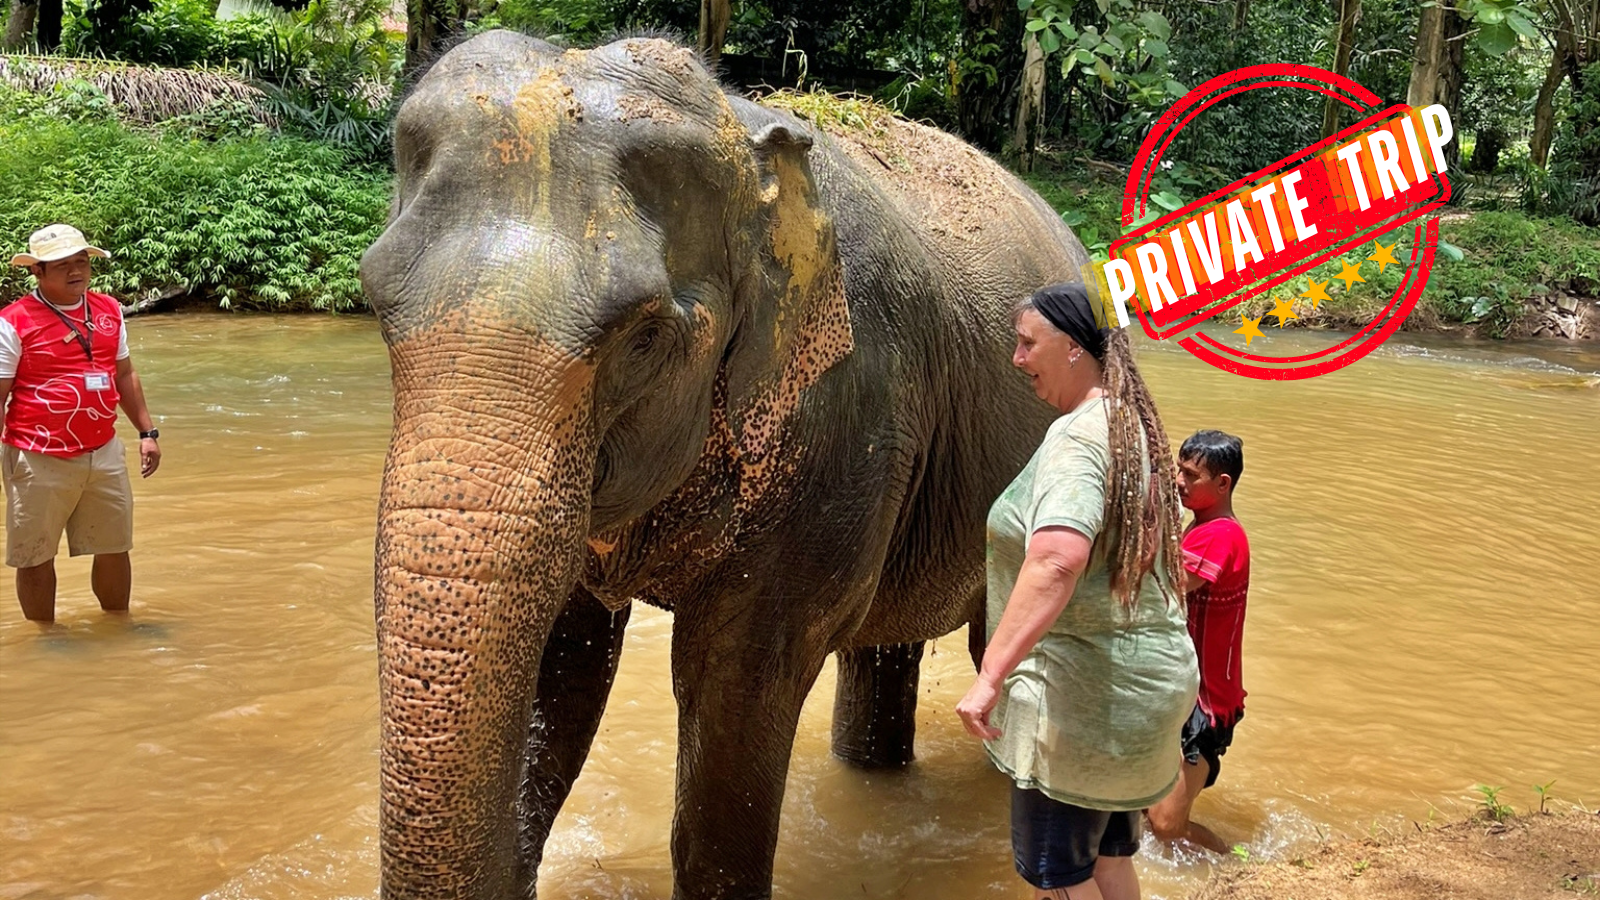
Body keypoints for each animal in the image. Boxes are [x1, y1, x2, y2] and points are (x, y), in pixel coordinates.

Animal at [360, 29, 1090, 900]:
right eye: (375, 303)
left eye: (643, 338)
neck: (743, 137)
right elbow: (561, 660)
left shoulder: (845, 413)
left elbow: (738, 675)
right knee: (884, 646)